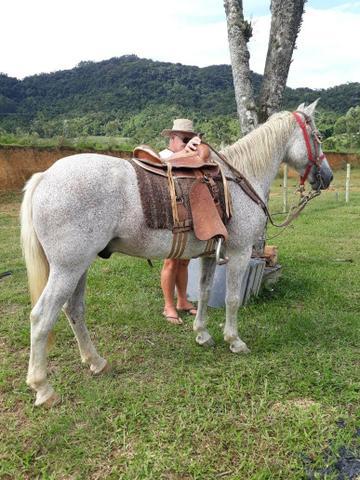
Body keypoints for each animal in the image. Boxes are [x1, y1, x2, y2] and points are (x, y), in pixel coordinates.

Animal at [21, 100, 334, 404]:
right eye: (318, 137)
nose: (328, 177)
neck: (240, 178)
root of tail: (45, 176)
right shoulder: (240, 253)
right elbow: (232, 300)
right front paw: (234, 341)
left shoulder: (210, 255)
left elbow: (205, 293)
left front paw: (202, 334)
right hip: (68, 269)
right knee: (42, 317)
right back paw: (43, 389)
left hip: (79, 267)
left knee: (74, 310)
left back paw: (96, 362)